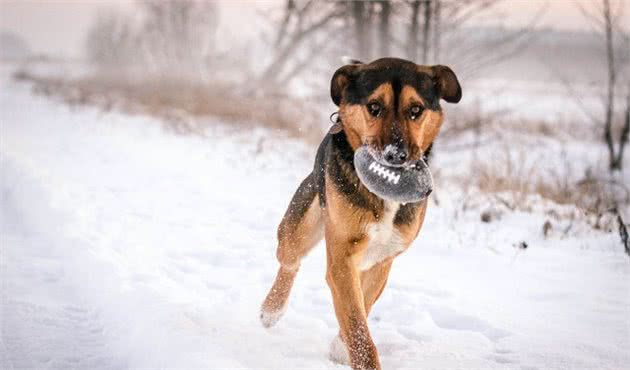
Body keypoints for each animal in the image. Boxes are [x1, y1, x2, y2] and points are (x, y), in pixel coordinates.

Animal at [260, 57, 462, 370]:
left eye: (416, 110)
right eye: (374, 106)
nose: (395, 156)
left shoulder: (383, 259)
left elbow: (362, 306)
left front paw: (340, 347)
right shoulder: (342, 256)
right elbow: (357, 325)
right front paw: (359, 355)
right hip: (300, 226)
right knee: (290, 260)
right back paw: (272, 309)